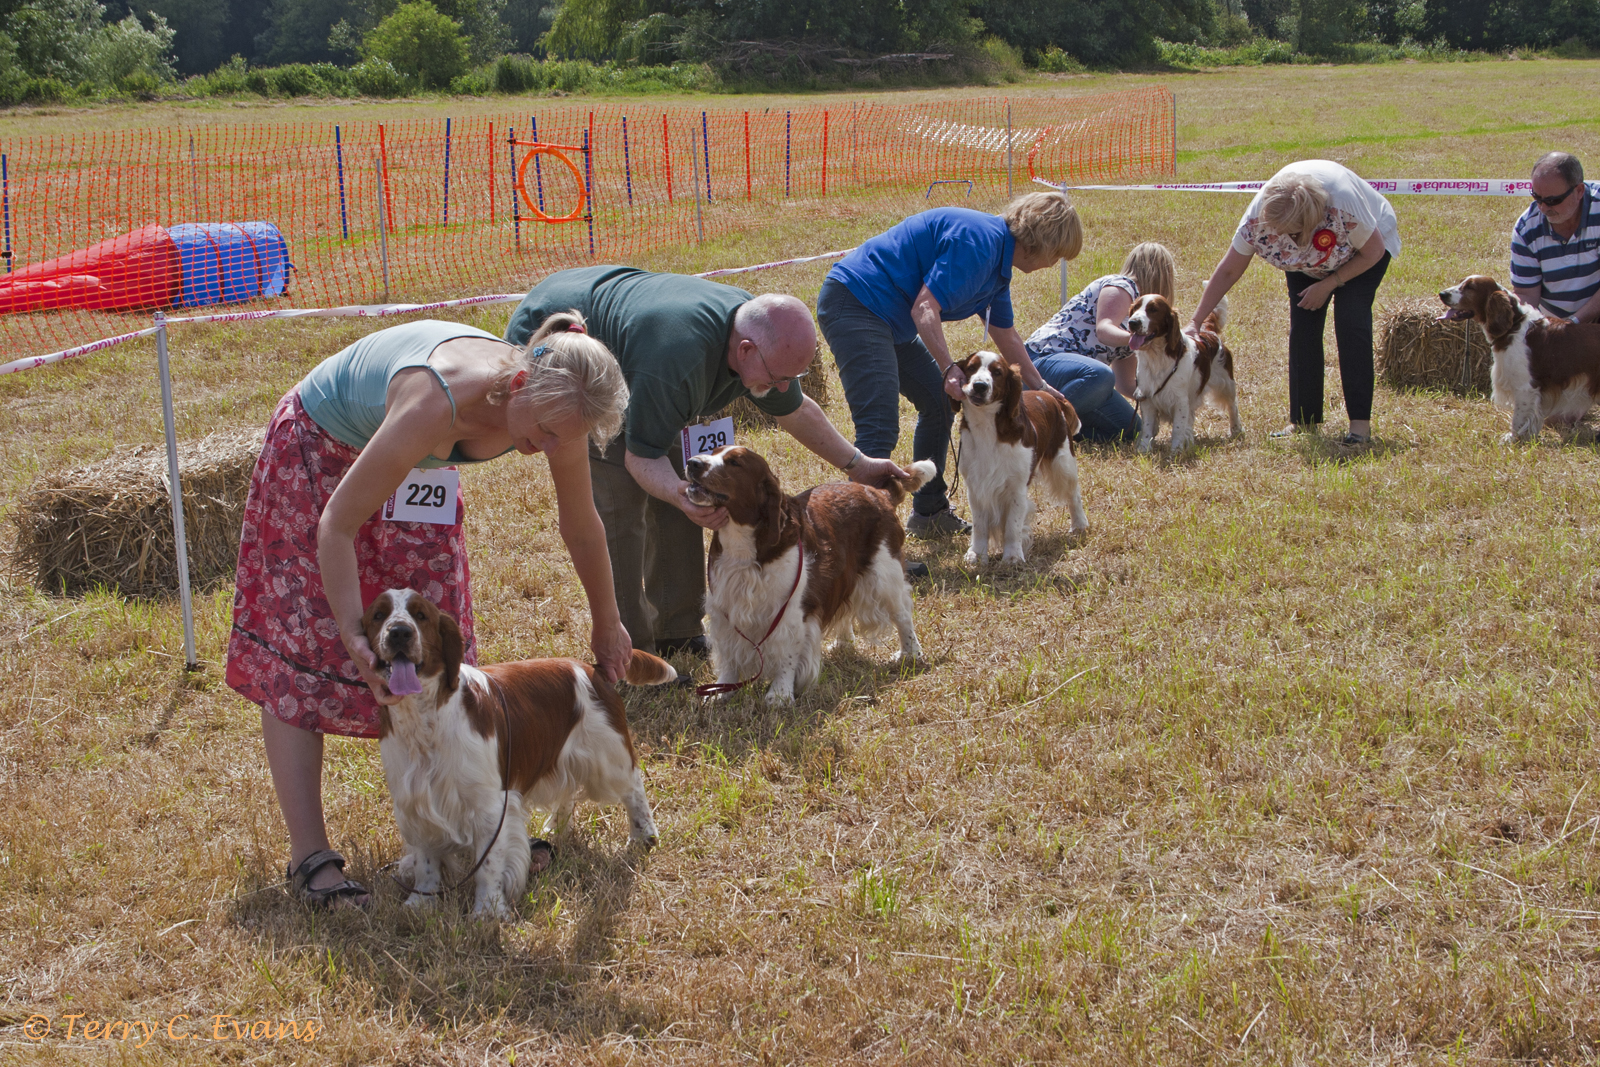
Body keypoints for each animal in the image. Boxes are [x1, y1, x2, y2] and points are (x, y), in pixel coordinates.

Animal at [362, 588, 676, 919]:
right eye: (378, 615)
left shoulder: (490, 807)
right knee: (569, 790)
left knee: (633, 788)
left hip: (607, 756)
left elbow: (488, 866)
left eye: (421, 615)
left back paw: (643, 836)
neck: (424, 721)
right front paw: (421, 902)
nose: (399, 632)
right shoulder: (413, 801)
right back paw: (556, 826)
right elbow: (426, 861)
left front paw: (487, 913)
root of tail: (593, 669)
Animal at [684, 446, 933, 705]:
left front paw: (779, 695)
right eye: (713, 451)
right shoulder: (725, 603)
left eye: (734, 463)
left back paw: (910, 654)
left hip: (885, 574)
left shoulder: (789, 609)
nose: (692, 463)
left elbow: (786, 653)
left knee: (902, 614)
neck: (742, 544)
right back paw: (843, 643)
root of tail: (879, 493)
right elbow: (728, 652)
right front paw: (722, 690)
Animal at [951, 350, 1089, 567]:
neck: (987, 426)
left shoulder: (1016, 488)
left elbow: (1012, 526)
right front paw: (977, 554)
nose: (980, 385)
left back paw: (1079, 525)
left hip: (1063, 462)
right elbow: (980, 525)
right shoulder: (976, 487)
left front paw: (1013, 556)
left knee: (1074, 494)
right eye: (971, 367)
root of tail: (1050, 396)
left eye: (997, 372)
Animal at [1123, 294, 1241, 453]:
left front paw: (1176, 450)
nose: (1133, 322)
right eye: (1135, 308)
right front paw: (1144, 449)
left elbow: (1178, 428)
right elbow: (1147, 427)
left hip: (1226, 384)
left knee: (1232, 405)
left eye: (1153, 309)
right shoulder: (1146, 397)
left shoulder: (1180, 400)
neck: (1158, 356)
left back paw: (1236, 430)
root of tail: (1208, 332)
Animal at [1438, 274, 1600, 442]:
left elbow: (1519, 418)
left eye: (1471, 287)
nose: (1442, 294)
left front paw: (1513, 439)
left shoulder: (1525, 387)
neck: (1513, 327)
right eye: (1461, 282)